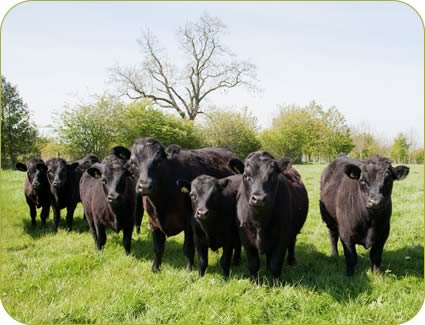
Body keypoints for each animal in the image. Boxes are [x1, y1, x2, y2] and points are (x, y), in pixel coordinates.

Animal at [112, 138, 238, 272]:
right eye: (133, 163)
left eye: (158, 161)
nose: (145, 186)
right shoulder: (153, 223)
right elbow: (158, 248)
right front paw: (155, 268)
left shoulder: (189, 223)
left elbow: (188, 249)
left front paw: (189, 269)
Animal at [227, 151, 306, 280]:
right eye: (246, 176)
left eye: (273, 176)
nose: (259, 198)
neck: (260, 224)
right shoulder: (245, 239)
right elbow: (253, 263)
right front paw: (254, 281)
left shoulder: (282, 238)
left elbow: (275, 264)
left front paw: (276, 282)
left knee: (292, 242)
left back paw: (291, 261)